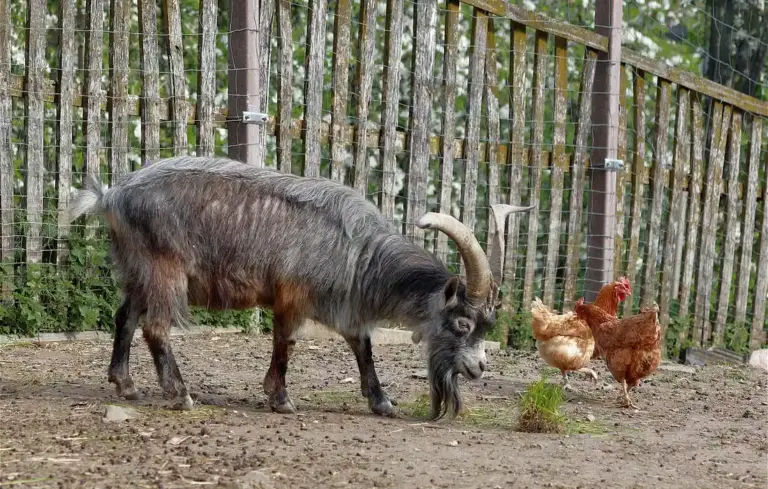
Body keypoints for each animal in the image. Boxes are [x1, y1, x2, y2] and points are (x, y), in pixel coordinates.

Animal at [68, 155, 532, 419]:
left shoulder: (344, 308)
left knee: (125, 317)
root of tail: (111, 196)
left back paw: (125, 384)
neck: (359, 251)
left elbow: (363, 348)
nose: (479, 368)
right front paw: (281, 399)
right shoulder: (292, 296)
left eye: (486, 327)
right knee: (155, 327)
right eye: (462, 324)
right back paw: (179, 394)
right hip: (164, 270)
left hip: (136, 270)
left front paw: (381, 402)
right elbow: (285, 344)